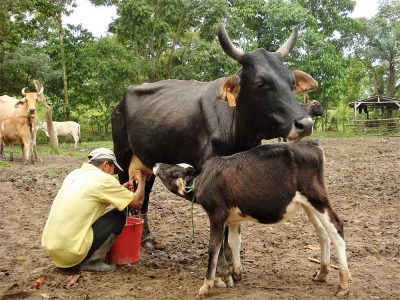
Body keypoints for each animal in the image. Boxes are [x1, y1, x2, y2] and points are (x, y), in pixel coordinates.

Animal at [112, 22, 318, 284]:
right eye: (261, 83)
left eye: (291, 82)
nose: (305, 124)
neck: (236, 129)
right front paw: (222, 270)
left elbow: (232, 228)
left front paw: (232, 263)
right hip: (121, 155)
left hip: (147, 162)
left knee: (144, 196)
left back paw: (147, 239)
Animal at [153, 141, 350, 296]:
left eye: (172, 171)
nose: (156, 163)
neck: (204, 178)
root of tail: (311, 144)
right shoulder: (233, 218)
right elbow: (233, 242)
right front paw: (236, 272)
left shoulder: (216, 215)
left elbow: (213, 247)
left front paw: (206, 285)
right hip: (308, 204)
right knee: (323, 233)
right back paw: (322, 273)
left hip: (317, 198)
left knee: (336, 228)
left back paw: (343, 285)